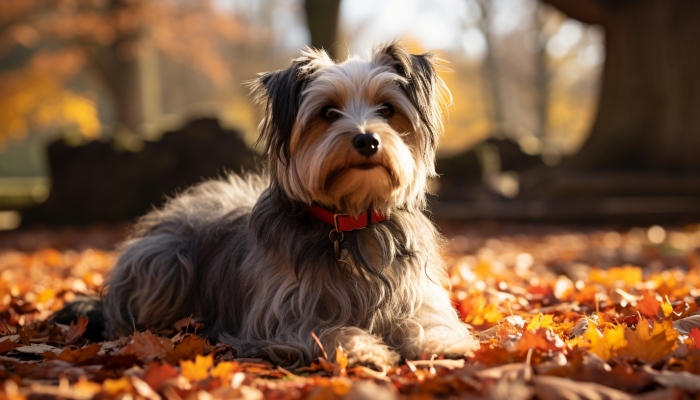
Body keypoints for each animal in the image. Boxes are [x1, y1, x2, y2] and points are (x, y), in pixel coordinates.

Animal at [101, 42, 478, 368]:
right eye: (328, 112)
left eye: (387, 109)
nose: (367, 140)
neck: (351, 221)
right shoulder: (282, 317)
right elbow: (329, 330)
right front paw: (364, 349)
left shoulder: (419, 294)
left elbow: (422, 320)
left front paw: (440, 343)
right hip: (164, 263)